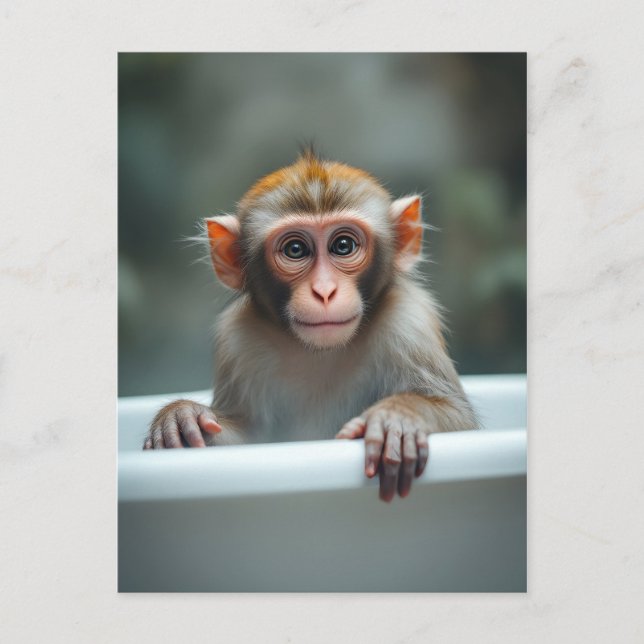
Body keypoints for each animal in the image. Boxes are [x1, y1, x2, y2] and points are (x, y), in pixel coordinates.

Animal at [143, 149, 477, 501]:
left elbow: (458, 415)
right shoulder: (237, 339)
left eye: (343, 246)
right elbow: (247, 433)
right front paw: (183, 416)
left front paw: (398, 418)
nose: (325, 291)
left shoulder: (409, 321)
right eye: (295, 250)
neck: (320, 351)